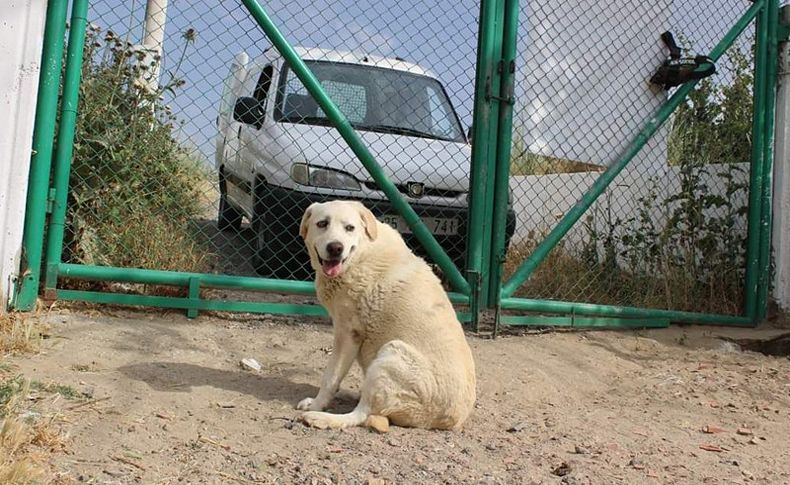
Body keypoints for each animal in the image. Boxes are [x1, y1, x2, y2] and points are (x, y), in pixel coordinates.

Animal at [296, 199, 476, 430]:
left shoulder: (347, 333)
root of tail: (453, 420)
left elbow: (330, 377)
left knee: (361, 414)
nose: (336, 248)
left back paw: (321, 418)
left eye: (349, 228)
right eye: (322, 223)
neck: (360, 255)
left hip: (392, 354)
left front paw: (317, 405)